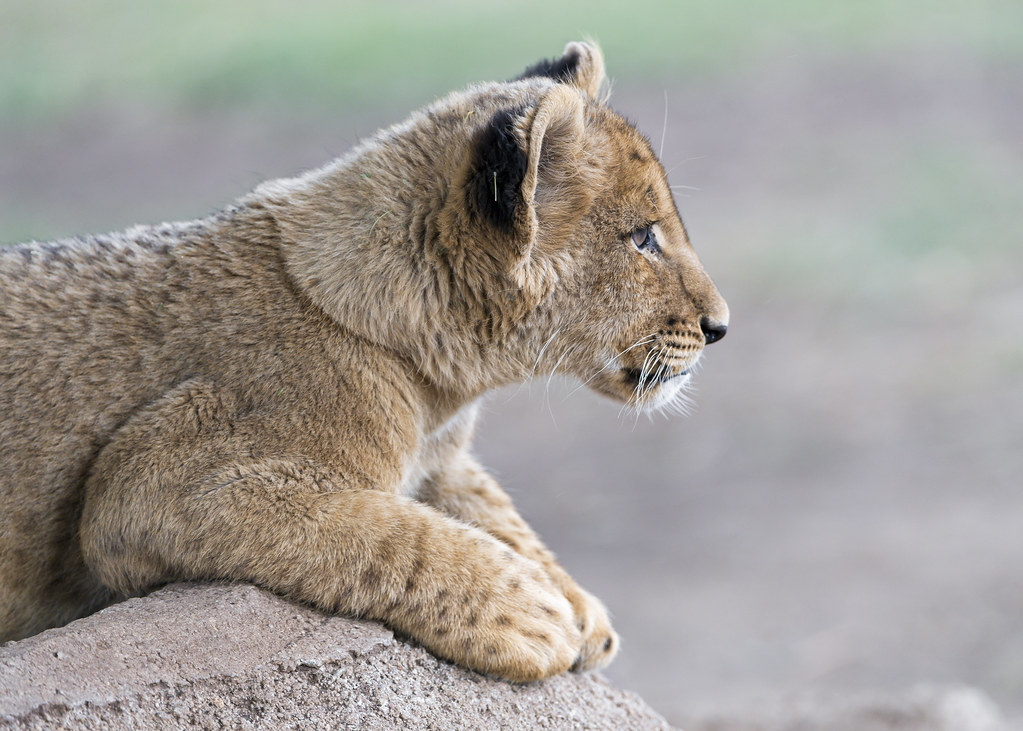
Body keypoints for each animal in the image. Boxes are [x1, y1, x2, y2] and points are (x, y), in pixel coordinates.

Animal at [0, 41, 728, 682]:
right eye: (643, 238)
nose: (720, 326)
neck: (437, 382)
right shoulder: (148, 484)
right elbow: (378, 526)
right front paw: (527, 612)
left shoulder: (441, 456)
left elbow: (490, 505)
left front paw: (574, 599)